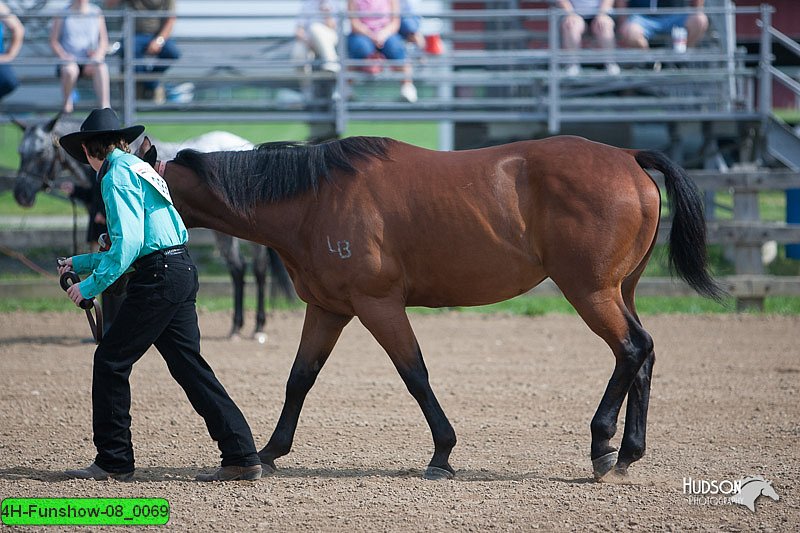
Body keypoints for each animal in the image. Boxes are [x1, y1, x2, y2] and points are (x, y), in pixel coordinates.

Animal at [141, 135, 720, 480]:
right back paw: (629, 452)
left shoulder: (378, 305)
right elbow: (299, 378)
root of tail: (629, 158)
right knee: (644, 354)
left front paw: (442, 453)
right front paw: (268, 451)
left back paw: (602, 446)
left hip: (591, 292)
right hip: (620, 290)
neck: (315, 199)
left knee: (632, 348)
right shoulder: (328, 309)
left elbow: (414, 374)